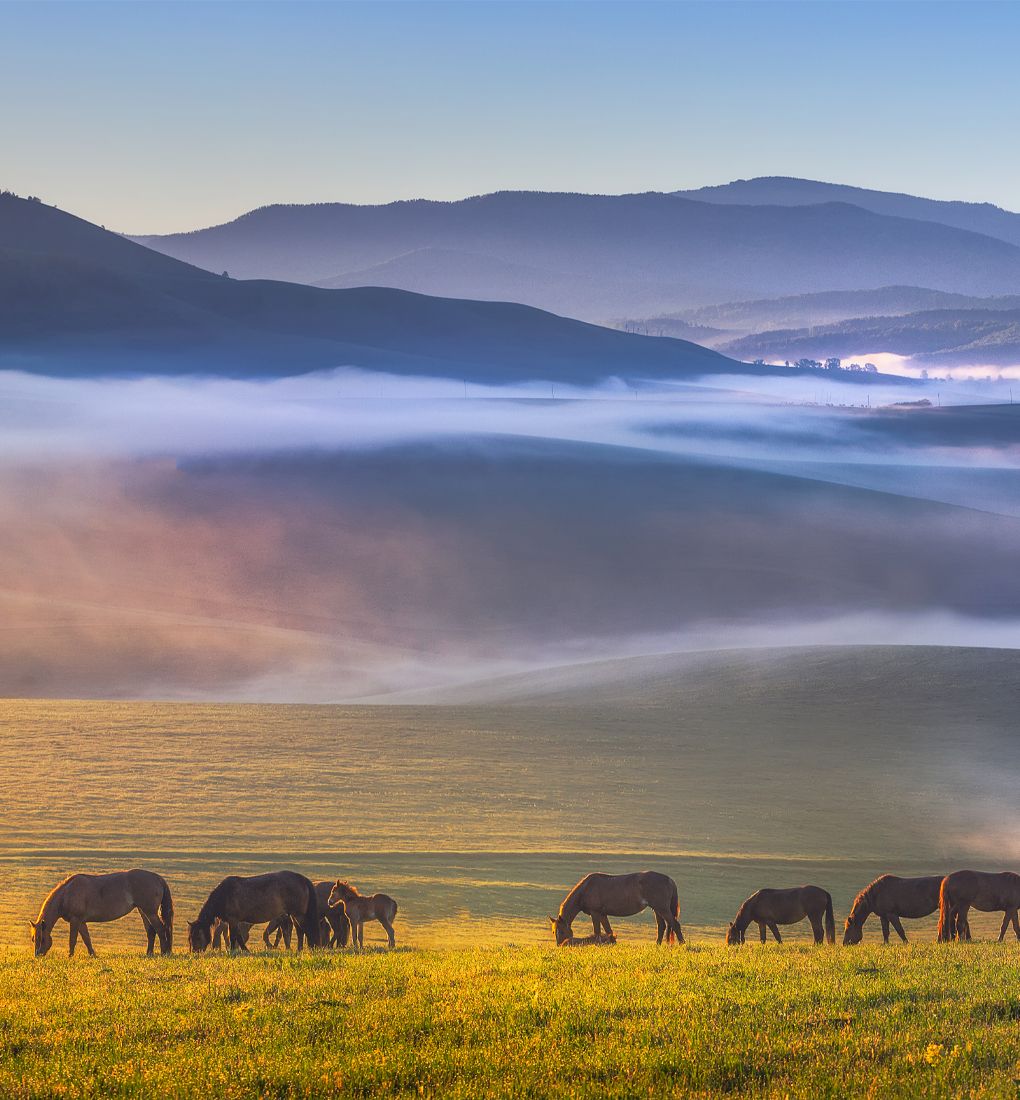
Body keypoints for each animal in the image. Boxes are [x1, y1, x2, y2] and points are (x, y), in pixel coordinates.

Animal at [27, 866, 172, 954]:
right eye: (34, 939)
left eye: (42, 938)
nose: (37, 955)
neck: (67, 893)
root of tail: (158, 878)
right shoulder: (81, 921)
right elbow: (87, 939)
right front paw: (92, 955)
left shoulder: (75, 920)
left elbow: (72, 939)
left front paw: (70, 956)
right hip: (144, 911)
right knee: (151, 931)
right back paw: (149, 953)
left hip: (150, 912)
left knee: (160, 929)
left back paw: (163, 952)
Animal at [187, 871, 321, 950]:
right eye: (190, 938)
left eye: (197, 937)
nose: (195, 952)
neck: (224, 894)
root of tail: (302, 879)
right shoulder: (235, 921)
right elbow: (237, 936)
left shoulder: (233, 920)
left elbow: (234, 937)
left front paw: (236, 951)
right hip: (294, 915)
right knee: (300, 931)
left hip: (298, 914)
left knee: (306, 930)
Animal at [545, 866, 682, 946]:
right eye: (554, 931)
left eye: (562, 931)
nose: (560, 945)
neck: (586, 889)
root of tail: (670, 880)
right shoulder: (602, 914)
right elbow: (608, 931)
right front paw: (612, 943)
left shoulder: (595, 913)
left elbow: (597, 931)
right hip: (657, 909)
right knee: (662, 926)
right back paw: (657, 945)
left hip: (662, 909)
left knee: (675, 924)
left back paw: (682, 944)